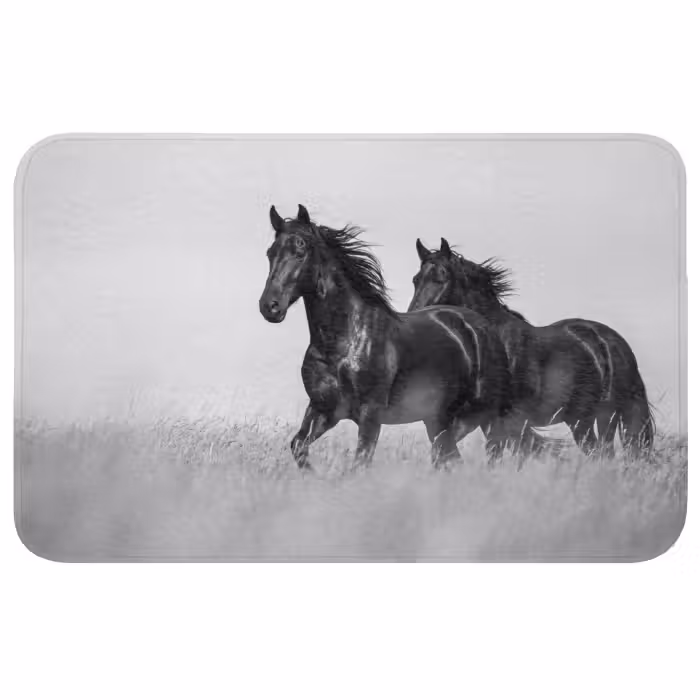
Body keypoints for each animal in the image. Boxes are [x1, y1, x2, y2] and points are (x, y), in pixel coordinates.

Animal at [259, 205, 515, 471]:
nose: (270, 307)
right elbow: (298, 446)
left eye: (300, 250)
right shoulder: (323, 409)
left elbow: (360, 463)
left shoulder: (370, 414)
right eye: (270, 253)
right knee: (447, 457)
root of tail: (481, 326)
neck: (343, 342)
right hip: (439, 419)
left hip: (484, 416)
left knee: (489, 453)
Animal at [408, 237, 655, 457]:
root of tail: (612, 341)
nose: (416, 317)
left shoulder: (503, 419)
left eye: (442, 277)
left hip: (603, 416)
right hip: (582, 419)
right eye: (416, 279)